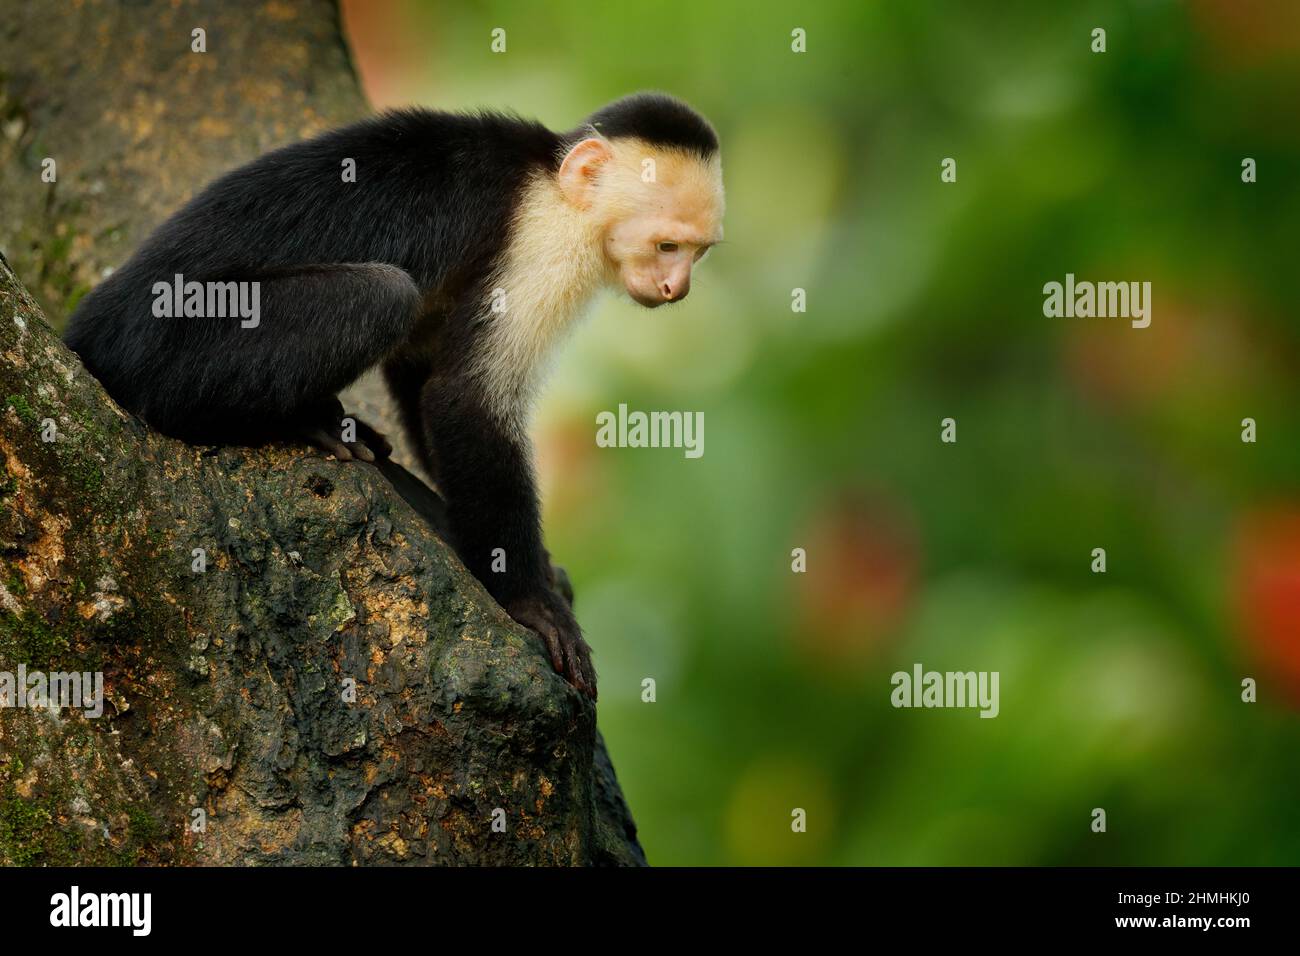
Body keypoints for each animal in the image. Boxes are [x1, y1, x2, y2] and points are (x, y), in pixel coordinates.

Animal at [65, 93, 728, 697]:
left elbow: (425, 373)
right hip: (166, 343)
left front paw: (536, 564)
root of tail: (95, 323)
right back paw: (299, 422)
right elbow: (465, 397)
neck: (556, 184)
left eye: (697, 253)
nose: (677, 288)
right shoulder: (544, 244)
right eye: (667, 246)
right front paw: (531, 601)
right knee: (381, 295)